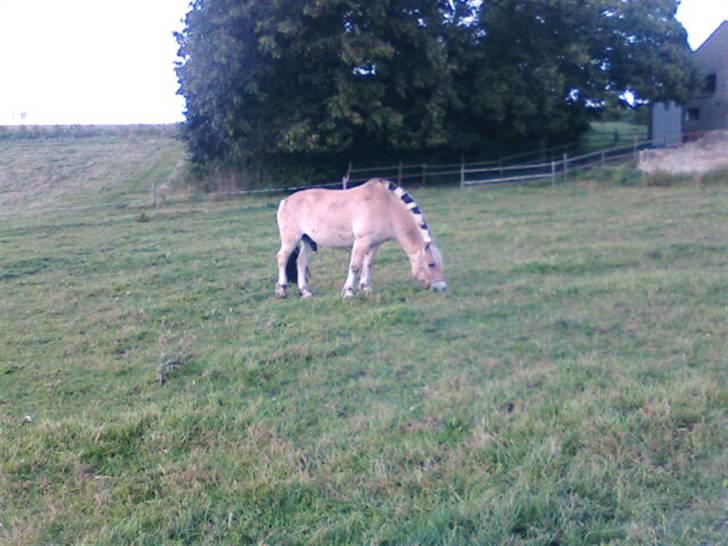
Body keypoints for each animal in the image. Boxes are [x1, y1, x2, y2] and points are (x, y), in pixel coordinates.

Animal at [274, 178, 446, 298]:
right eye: (431, 264)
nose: (442, 288)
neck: (387, 206)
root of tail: (285, 201)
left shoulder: (374, 244)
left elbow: (368, 264)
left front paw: (366, 288)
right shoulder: (362, 241)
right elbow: (355, 266)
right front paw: (349, 292)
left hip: (307, 241)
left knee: (301, 262)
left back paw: (305, 292)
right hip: (291, 239)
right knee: (282, 258)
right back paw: (282, 290)